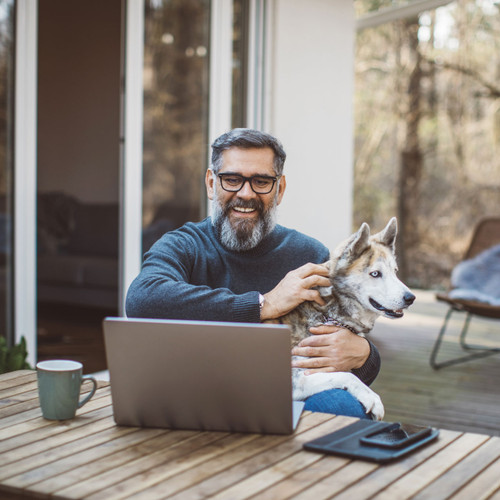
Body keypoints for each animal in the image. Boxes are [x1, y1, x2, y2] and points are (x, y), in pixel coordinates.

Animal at [270, 217, 414, 420]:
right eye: (375, 273)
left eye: (395, 271)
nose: (411, 298)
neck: (327, 313)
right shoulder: (294, 379)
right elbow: (346, 375)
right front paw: (372, 398)